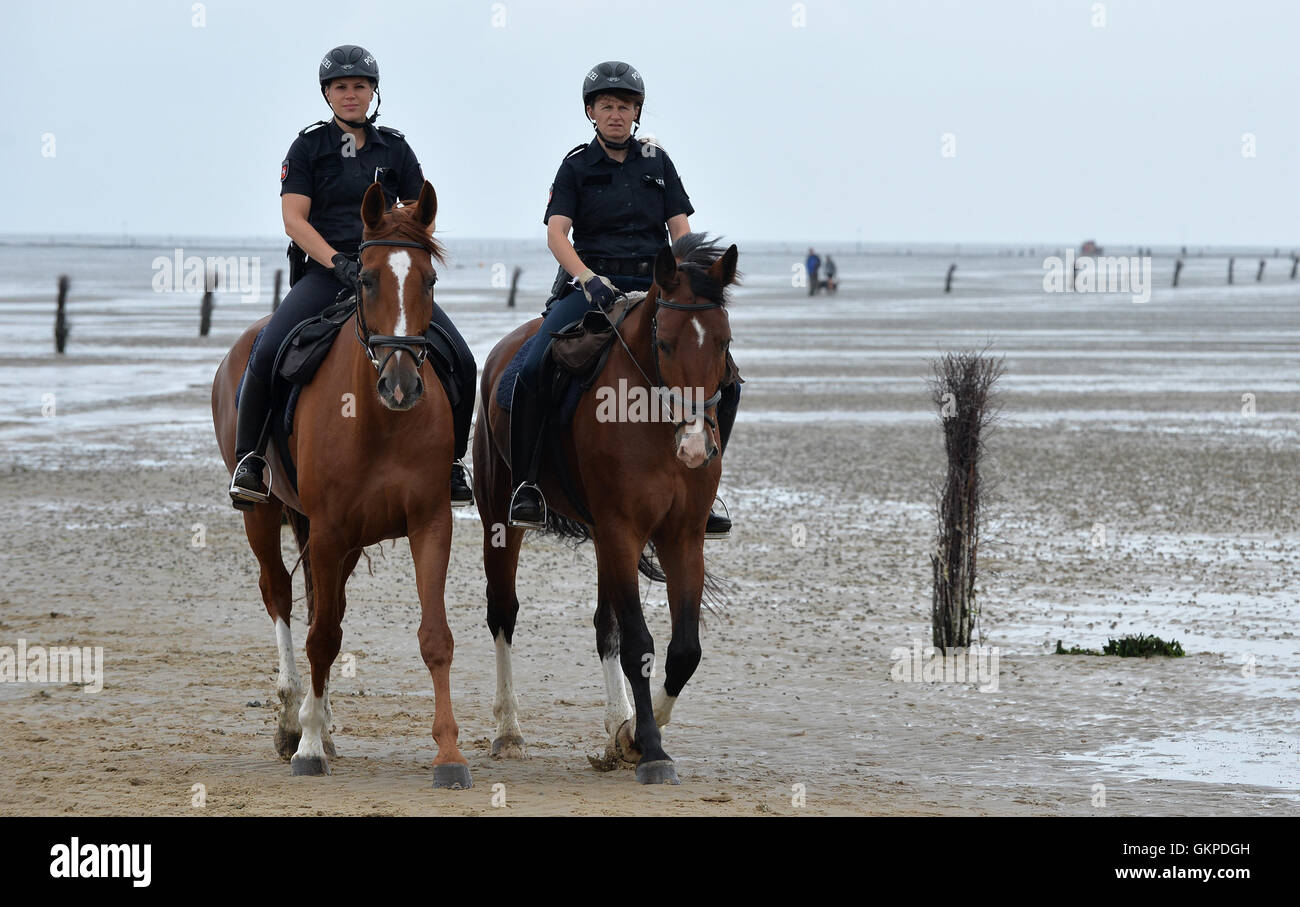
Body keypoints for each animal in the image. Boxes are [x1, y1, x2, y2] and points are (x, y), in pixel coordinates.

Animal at [210, 181, 475, 784]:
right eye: (367, 278)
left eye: (429, 280)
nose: (401, 385)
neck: (380, 422)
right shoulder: (328, 528)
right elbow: (322, 637)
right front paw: (306, 748)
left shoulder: (429, 523)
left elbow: (435, 637)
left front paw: (449, 755)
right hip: (265, 516)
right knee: (282, 600)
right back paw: (292, 722)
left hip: (341, 540)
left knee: (319, 605)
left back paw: (321, 722)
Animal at [475, 235, 743, 784]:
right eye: (665, 343)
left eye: (723, 343)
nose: (694, 447)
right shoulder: (622, 531)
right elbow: (641, 643)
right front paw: (651, 749)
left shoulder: (681, 536)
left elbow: (683, 650)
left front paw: (630, 736)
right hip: (500, 517)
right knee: (503, 612)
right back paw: (509, 731)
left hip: (602, 537)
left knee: (605, 628)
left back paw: (615, 720)